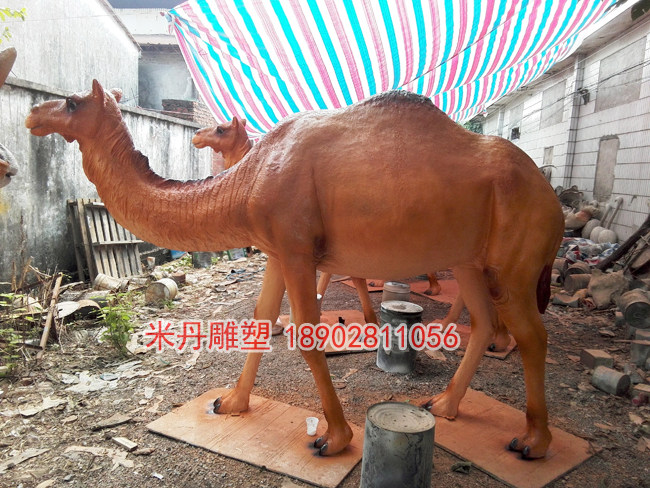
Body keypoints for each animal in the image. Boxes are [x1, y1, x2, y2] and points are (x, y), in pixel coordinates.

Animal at [26, 80, 564, 459]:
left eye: (71, 102)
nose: (33, 113)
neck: (246, 178)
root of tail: (551, 197)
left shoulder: (297, 247)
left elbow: (306, 330)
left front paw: (335, 438)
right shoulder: (276, 250)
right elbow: (261, 319)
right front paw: (231, 404)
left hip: (516, 260)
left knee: (532, 335)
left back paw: (533, 442)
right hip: (469, 258)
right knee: (485, 321)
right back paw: (445, 406)